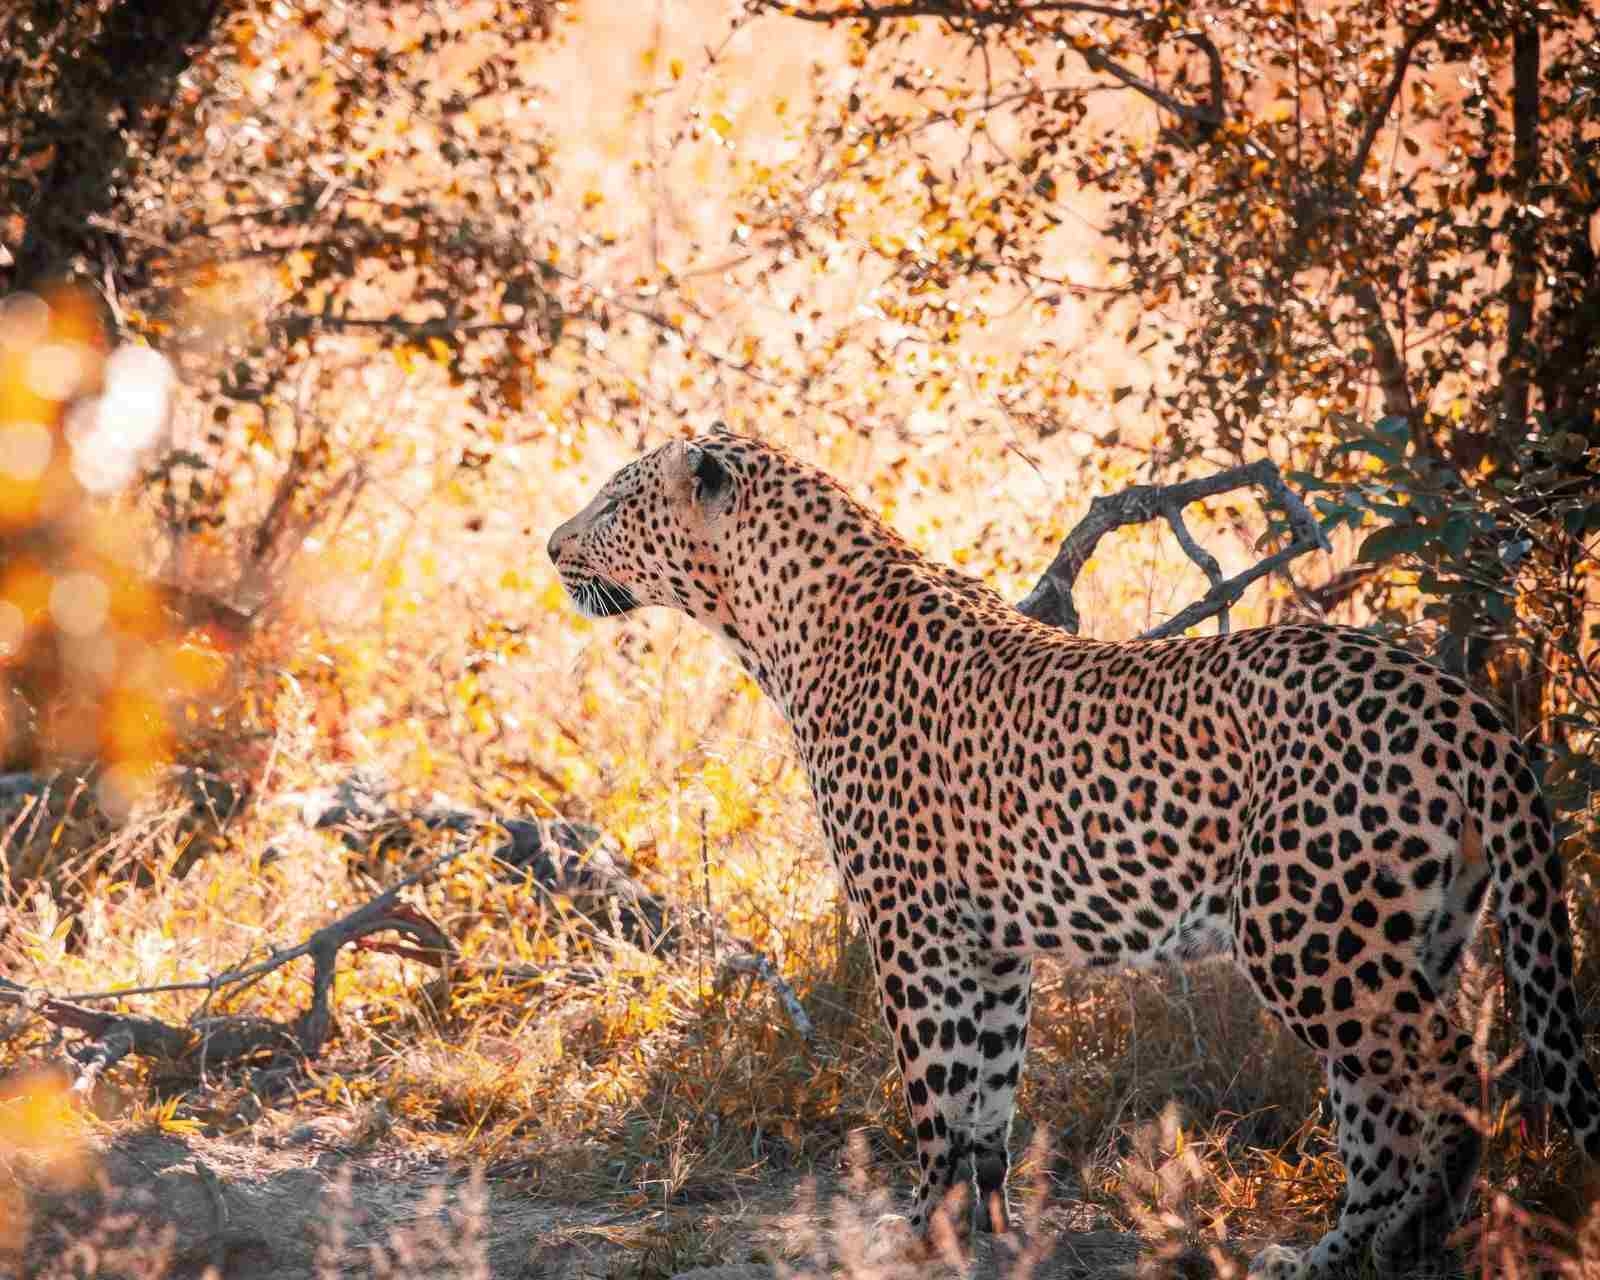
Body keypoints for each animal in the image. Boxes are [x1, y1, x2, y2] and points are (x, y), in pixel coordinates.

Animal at [547, 428, 1600, 1277]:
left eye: (614, 500)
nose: (553, 547)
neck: (776, 625)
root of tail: (1465, 706)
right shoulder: (991, 946)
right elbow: (988, 1097)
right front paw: (989, 1226)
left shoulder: (913, 932)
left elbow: (935, 1092)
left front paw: (914, 1230)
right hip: (1405, 934)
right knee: (1382, 1112)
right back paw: (1326, 1255)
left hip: (1308, 933)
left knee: (1452, 1076)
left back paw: (1418, 1231)